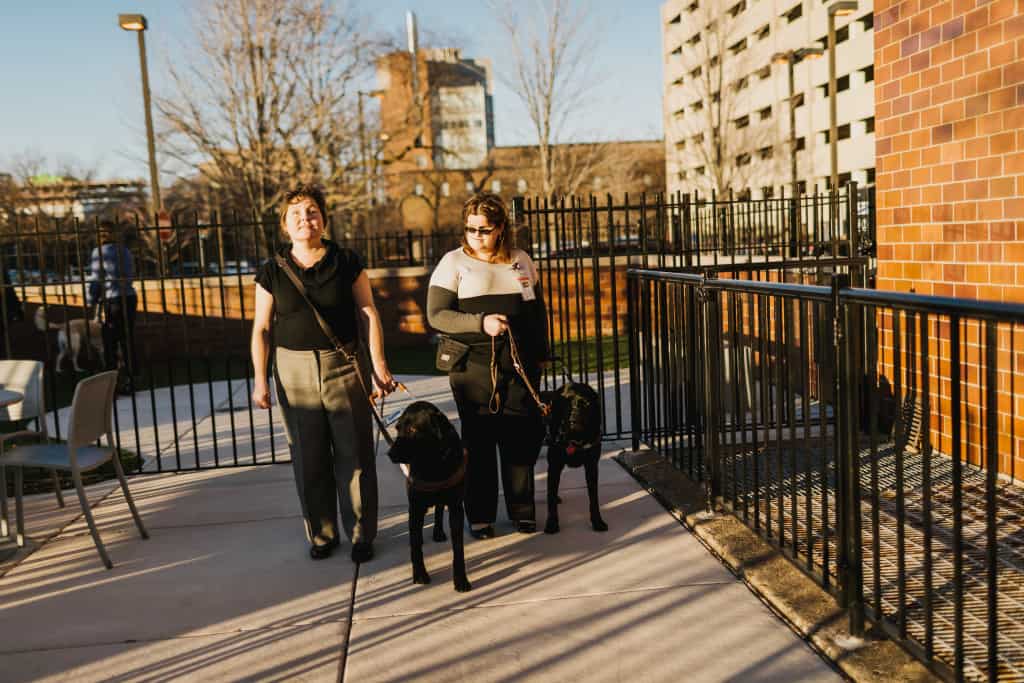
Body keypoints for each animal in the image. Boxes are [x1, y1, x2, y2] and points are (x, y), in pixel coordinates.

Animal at [387, 401, 471, 593]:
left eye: (412, 429)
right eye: (397, 428)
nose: (390, 453)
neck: (433, 464)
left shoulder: (456, 508)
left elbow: (458, 549)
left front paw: (460, 580)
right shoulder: (415, 508)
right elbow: (416, 546)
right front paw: (419, 574)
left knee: (439, 509)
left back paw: (438, 531)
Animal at [544, 385, 606, 532]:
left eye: (586, 403)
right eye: (565, 404)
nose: (574, 420)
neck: (575, 438)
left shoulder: (592, 466)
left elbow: (594, 499)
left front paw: (597, 522)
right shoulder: (554, 466)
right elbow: (550, 498)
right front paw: (552, 523)